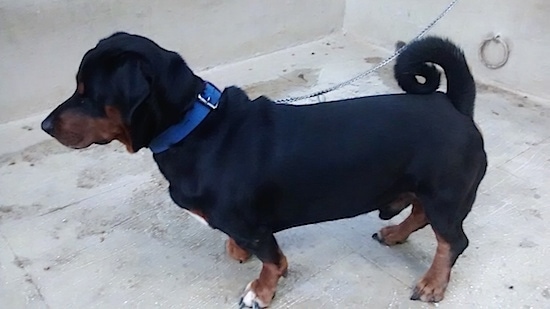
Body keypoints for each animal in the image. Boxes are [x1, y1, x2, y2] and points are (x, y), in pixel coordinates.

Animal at [42, 32, 488, 306]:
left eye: (87, 94)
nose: (46, 125)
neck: (194, 127)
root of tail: (454, 104)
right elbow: (258, 251)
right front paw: (239, 252)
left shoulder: (253, 225)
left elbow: (271, 259)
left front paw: (260, 291)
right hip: (429, 190)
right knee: (419, 215)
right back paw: (395, 233)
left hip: (445, 194)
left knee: (452, 241)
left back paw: (433, 282)